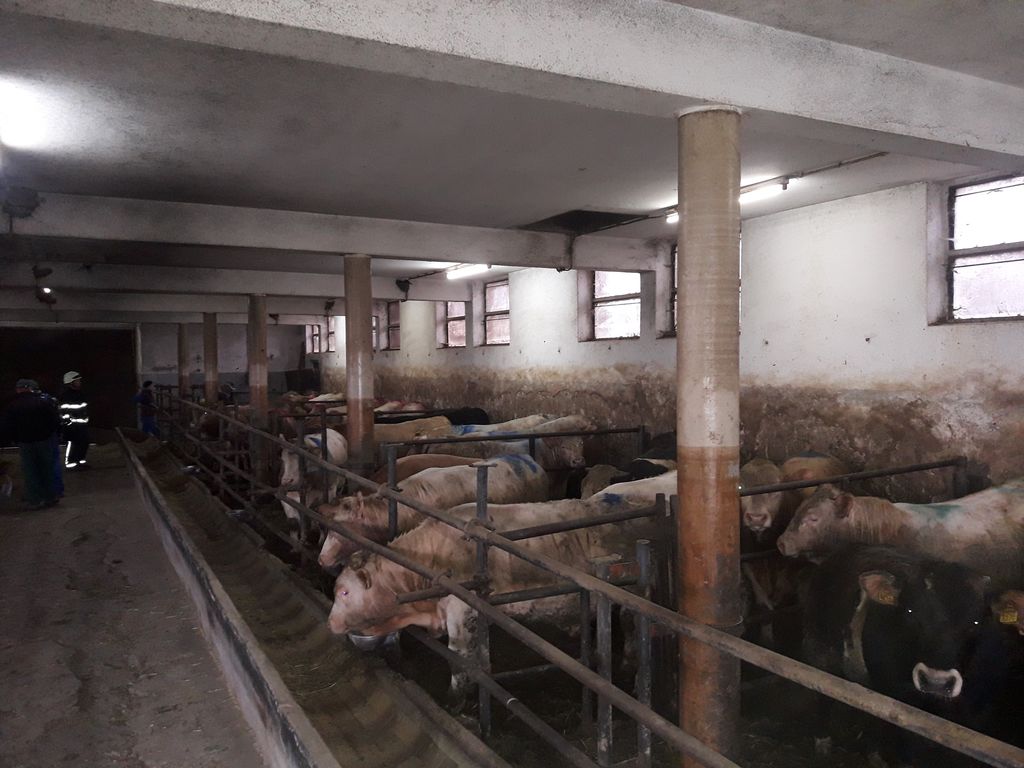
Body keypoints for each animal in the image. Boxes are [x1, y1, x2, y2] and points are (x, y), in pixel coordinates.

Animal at [327, 494, 654, 700]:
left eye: (344, 591)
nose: (330, 623)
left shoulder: (460, 612)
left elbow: (458, 659)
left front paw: (455, 698)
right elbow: (480, 658)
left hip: (635, 595)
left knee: (635, 632)